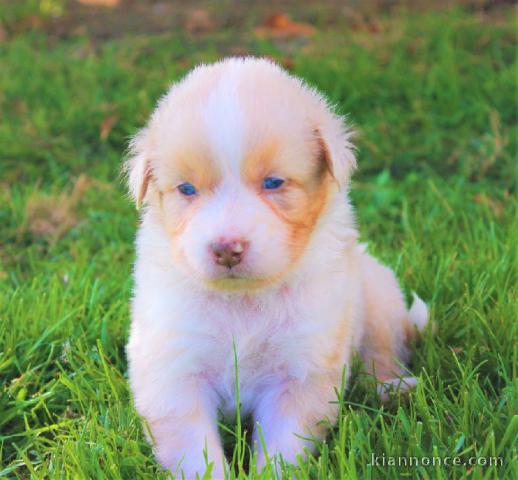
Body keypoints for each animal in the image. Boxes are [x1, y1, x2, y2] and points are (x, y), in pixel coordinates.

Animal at [124, 58, 428, 478]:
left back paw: (392, 388)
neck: (243, 301)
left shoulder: (300, 374)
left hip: (380, 295)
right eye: (186, 189)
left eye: (273, 182)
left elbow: (282, 450)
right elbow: (196, 452)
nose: (226, 249)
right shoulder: (174, 370)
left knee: (382, 350)